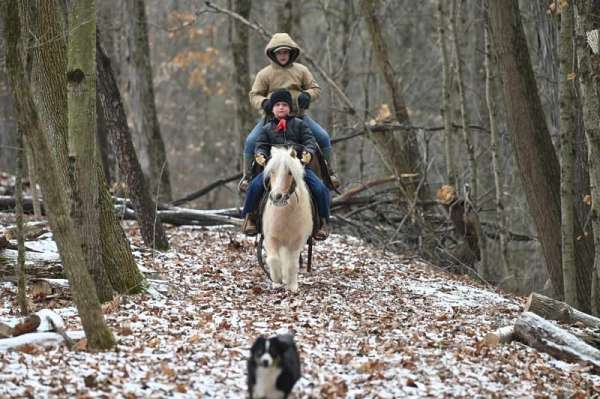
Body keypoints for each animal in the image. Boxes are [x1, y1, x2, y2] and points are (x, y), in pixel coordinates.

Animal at [262, 145, 314, 292]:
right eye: (272, 171)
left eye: (290, 172)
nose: (276, 197)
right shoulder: (270, 238)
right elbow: (273, 259)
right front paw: (277, 280)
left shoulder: (297, 241)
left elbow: (292, 263)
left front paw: (292, 286)